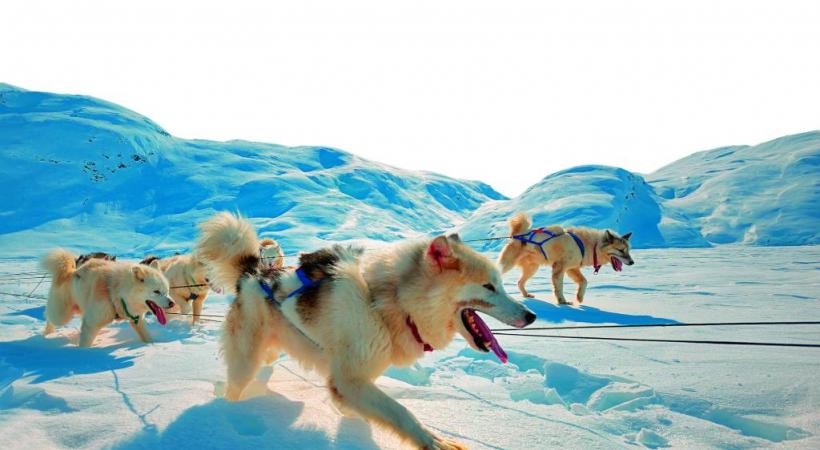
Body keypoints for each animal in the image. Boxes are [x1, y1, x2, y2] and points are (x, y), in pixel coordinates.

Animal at [41, 248, 175, 346]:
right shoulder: (91, 324)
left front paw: (152, 346)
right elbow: (84, 345)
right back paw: (46, 333)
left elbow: (147, 337)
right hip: (61, 316)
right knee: (49, 316)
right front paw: (82, 355)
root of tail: (72, 272)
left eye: (167, 291)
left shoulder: (137, 320)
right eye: (156, 292)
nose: (172, 303)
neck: (116, 293)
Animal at [195, 212, 536, 450]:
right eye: (489, 286)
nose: (531, 315)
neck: (388, 305)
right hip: (245, 362)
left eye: (500, 283)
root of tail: (253, 273)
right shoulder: (350, 380)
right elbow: (400, 412)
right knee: (234, 388)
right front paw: (434, 441)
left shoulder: (354, 381)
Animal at [496, 213, 636, 304]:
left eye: (628, 250)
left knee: (520, 282)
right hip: (508, 264)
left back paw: (526, 295)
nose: (632, 262)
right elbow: (559, 288)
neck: (589, 245)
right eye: (621, 250)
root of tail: (517, 235)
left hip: (532, 268)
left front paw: (579, 297)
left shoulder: (572, 269)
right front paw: (562, 301)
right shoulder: (559, 268)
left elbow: (584, 282)